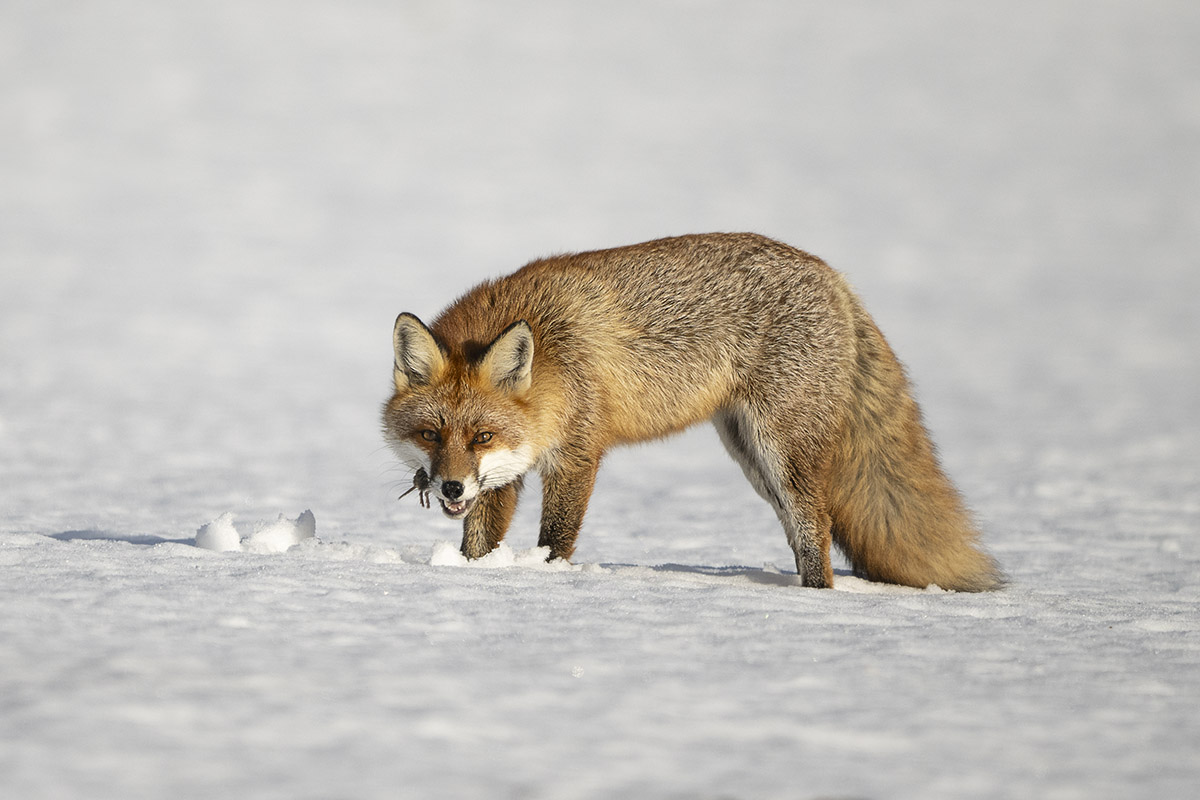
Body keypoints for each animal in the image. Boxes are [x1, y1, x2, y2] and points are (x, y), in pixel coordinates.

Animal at [384, 231, 1003, 587]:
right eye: (433, 435)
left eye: (482, 436)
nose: (450, 488)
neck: (553, 353)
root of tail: (834, 276)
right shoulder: (509, 474)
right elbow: (478, 545)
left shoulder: (577, 454)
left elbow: (556, 542)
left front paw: (549, 582)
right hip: (751, 456)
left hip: (782, 452)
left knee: (816, 529)